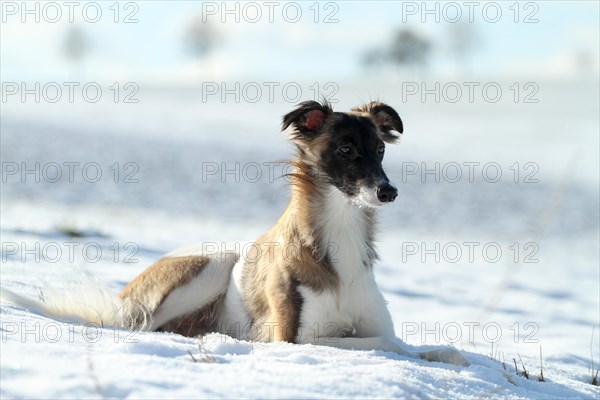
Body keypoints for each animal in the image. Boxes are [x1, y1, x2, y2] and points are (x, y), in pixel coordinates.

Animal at [0, 101, 468, 366]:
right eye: (346, 149)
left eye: (382, 149)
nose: (388, 192)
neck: (340, 240)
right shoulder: (293, 338)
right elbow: (379, 344)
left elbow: (408, 343)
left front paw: (447, 353)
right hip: (213, 262)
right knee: (145, 326)